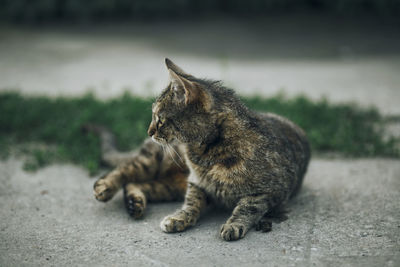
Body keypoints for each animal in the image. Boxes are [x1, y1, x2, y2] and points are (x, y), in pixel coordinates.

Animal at [92, 59, 310, 243]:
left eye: (159, 119)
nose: (149, 131)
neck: (205, 154)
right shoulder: (196, 183)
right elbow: (191, 204)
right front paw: (179, 218)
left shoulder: (268, 190)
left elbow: (248, 208)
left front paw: (233, 225)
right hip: (154, 160)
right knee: (125, 170)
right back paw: (105, 187)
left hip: (170, 186)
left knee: (136, 184)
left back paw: (134, 203)